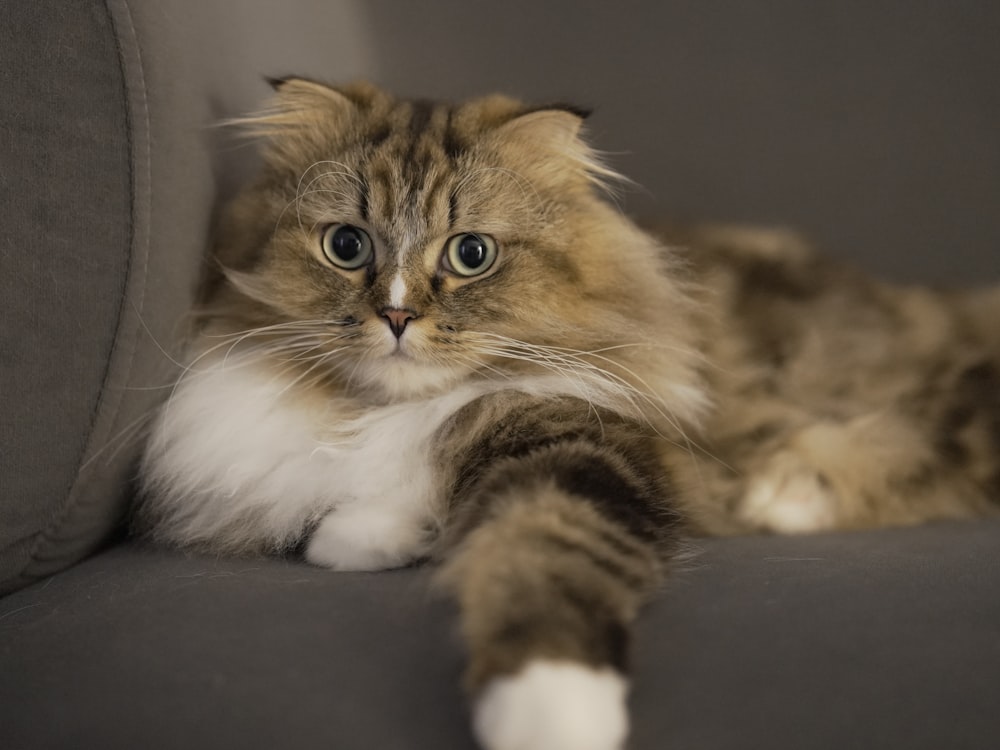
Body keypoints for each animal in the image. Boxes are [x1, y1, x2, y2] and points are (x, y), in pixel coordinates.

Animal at [135, 81, 1000, 750]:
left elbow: (542, 560)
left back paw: (790, 494)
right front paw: (372, 534)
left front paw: (550, 716)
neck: (389, 410)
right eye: (346, 246)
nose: (397, 317)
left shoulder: (584, 443)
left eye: (470, 254)